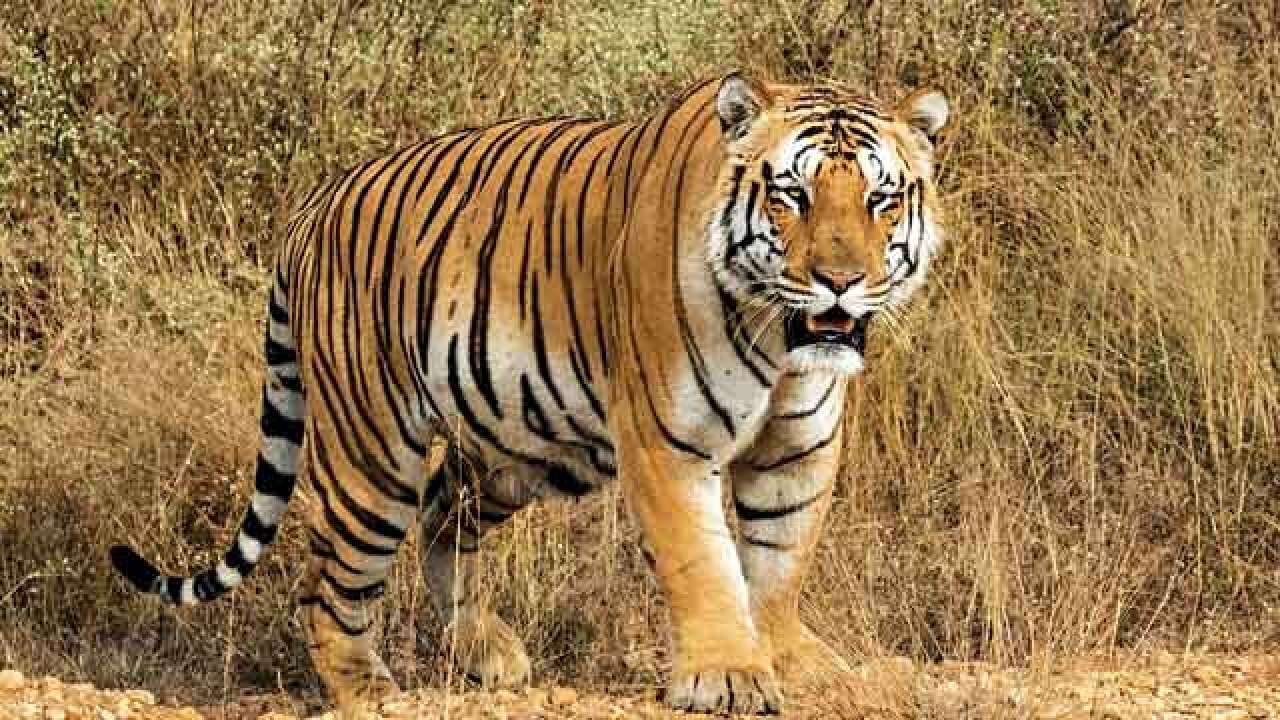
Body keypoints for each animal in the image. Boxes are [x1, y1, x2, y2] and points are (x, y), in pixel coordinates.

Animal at [110, 72, 949, 715]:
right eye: (792, 197)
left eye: (879, 200)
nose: (840, 281)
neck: (780, 342)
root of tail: (315, 204)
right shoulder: (668, 444)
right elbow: (704, 563)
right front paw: (728, 675)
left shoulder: (796, 449)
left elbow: (779, 559)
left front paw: (786, 659)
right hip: (373, 452)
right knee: (329, 586)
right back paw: (371, 693)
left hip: (525, 445)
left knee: (444, 517)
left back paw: (486, 652)